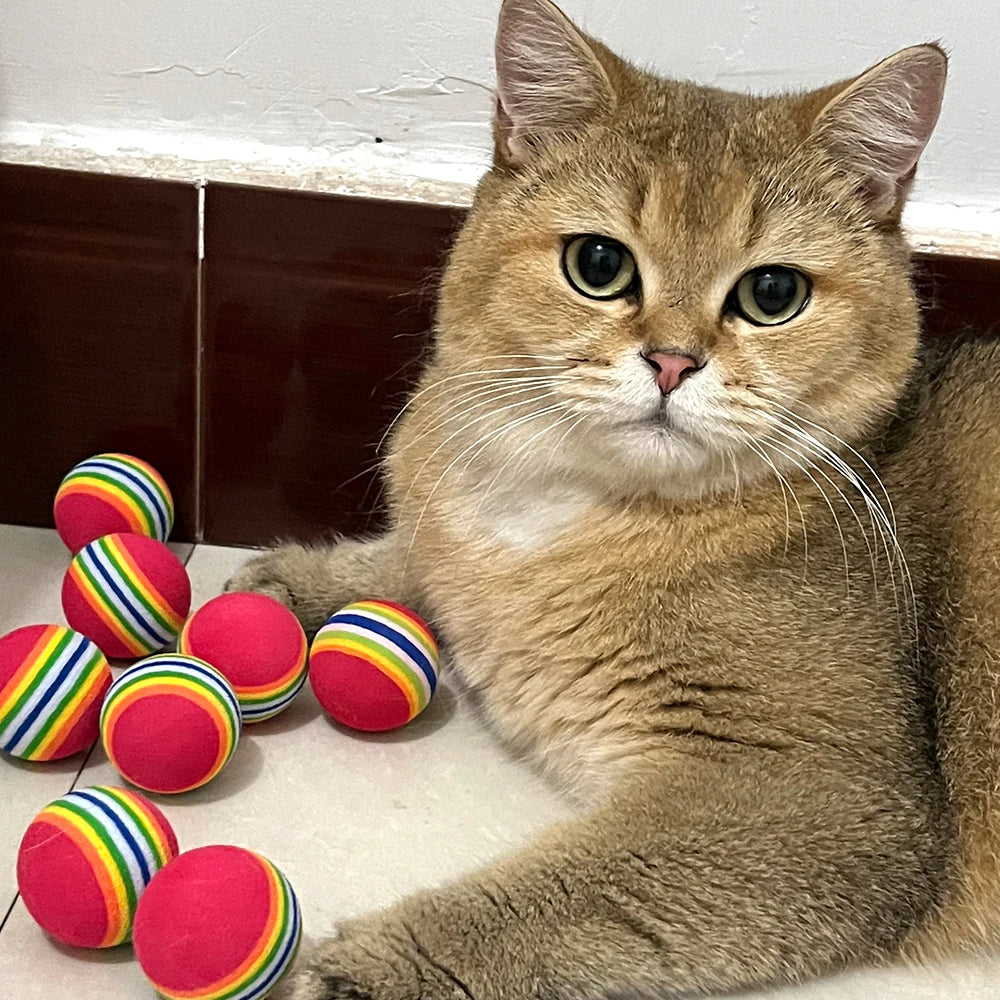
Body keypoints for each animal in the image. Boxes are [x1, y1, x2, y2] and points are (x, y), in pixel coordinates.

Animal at [225, 1, 1000, 1000]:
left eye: (773, 292)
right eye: (598, 264)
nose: (672, 361)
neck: (572, 503)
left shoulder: (831, 801)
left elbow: (567, 900)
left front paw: (384, 969)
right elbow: (423, 559)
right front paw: (305, 586)